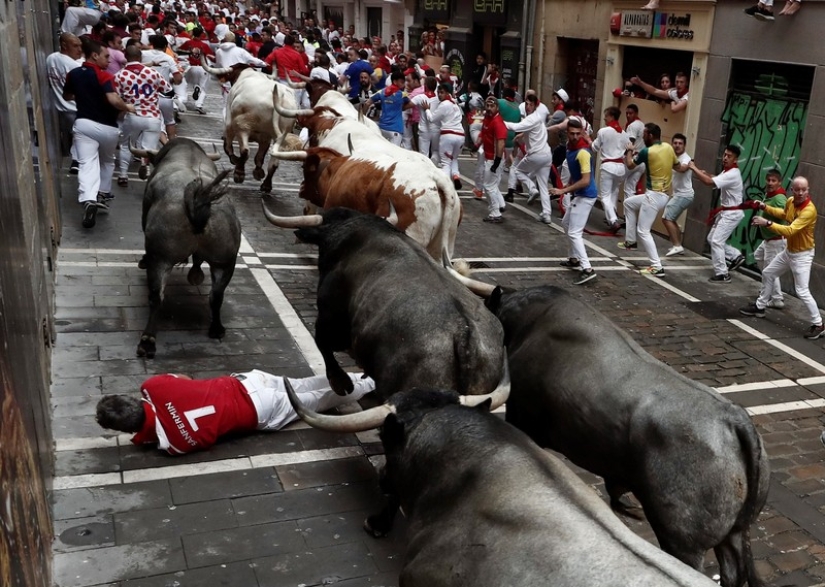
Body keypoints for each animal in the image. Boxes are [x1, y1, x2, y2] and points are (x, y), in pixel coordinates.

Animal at [132, 139, 240, 358]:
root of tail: (198, 201)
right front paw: (196, 272)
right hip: (225, 260)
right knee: (216, 295)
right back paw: (216, 328)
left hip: (160, 257)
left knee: (156, 296)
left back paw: (147, 340)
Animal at [201, 63, 300, 194]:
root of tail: (280, 95)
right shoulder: (265, 137)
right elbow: (259, 157)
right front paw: (258, 172)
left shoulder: (230, 123)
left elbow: (228, 147)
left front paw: (235, 161)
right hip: (279, 135)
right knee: (273, 163)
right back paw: (266, 185)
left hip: (242, 127)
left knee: (245, 151)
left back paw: (239, 173)